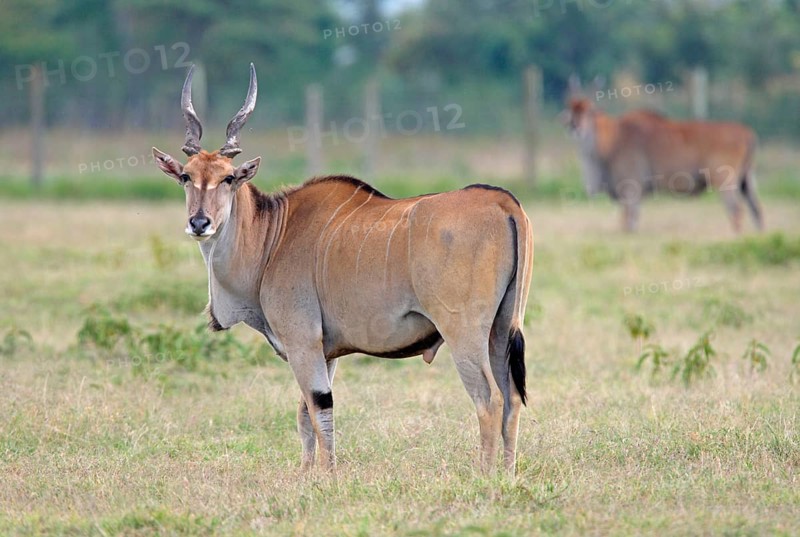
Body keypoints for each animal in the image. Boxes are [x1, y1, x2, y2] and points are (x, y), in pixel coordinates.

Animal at [152, 64, 534, 474]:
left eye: (228, 178)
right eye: (186, 177)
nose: (199, 223)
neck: (273, 235)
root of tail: (503, 202)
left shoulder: (302, 341)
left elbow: (319, 409)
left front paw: (326, 476)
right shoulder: (325, 350)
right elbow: (306, 414)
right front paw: (307, 474)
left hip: (464, 331)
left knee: (489, 399)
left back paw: (486, 476)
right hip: (501, 328)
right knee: (512, 398)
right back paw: (508, 475)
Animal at [564, 87, 763, 233]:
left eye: (589, 111)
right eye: (570, 110)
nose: (575, 126)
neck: (613, 139)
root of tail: (747, 133)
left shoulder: (630, 188)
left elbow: (628, 221)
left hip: (724, 181)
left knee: (736, 210)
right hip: (746, 181)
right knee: (756, 210)